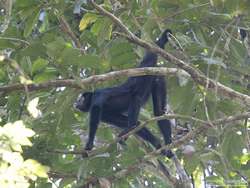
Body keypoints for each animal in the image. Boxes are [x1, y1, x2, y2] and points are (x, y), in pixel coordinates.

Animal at [74, 29, 174, 158]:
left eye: (80, 99)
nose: (76, 103)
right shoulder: (105, 115)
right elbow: (135, 124)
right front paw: (157, 144)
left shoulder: (98, 94)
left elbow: (96, 110)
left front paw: (89, 144)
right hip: (157, 80)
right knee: (159, 112)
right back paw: (168, 143)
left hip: (142, 78)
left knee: (136, 98)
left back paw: (130, 128)